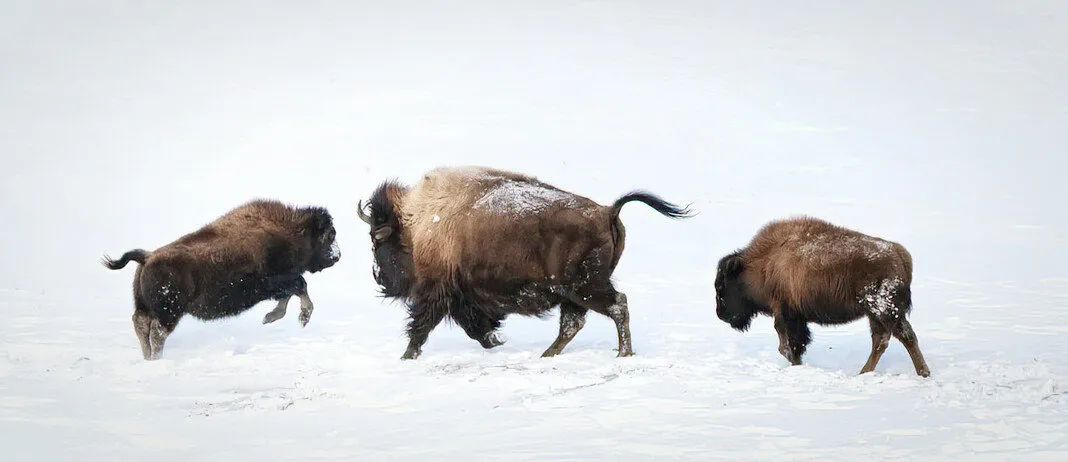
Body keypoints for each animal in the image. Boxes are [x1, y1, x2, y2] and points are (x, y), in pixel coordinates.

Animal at [103, 200, 340, 360]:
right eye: (329, 235)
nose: (337, 256)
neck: (291, 232)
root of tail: (147, 257)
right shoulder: (277, 281)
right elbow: (300, 286)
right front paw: (300, 318)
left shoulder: (280, 285)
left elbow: (292, 293)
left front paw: (269, 317)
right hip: (169, 311)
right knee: (157, 332)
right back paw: (157, 358)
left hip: (146, 306)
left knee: (141, 325)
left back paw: (148, 358)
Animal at [359, 166, 692, 359]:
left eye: (376, 241)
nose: (380, 279)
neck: (415, 223)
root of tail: (607, 211)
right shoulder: (462, 296)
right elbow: (472, 325)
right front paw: (495, 342)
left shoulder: (437, 292)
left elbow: (422, 325)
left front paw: (407, 356)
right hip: (572, 292)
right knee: (573, 322)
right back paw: (548, 354)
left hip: (584, 287)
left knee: (616, 306)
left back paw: (623, 354)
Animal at [715, 217, 930, 376]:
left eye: (721, 286)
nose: (721, 314)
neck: (763, 263)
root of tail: (900, 254)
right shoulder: (794, 316)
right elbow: (795, 344)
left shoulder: (785, 313)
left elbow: (788, 345)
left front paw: (796, 365)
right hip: (875, 314)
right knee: (884, 340)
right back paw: (867, 372)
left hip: (884, 309)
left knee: (902, 336)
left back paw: (920, 372)